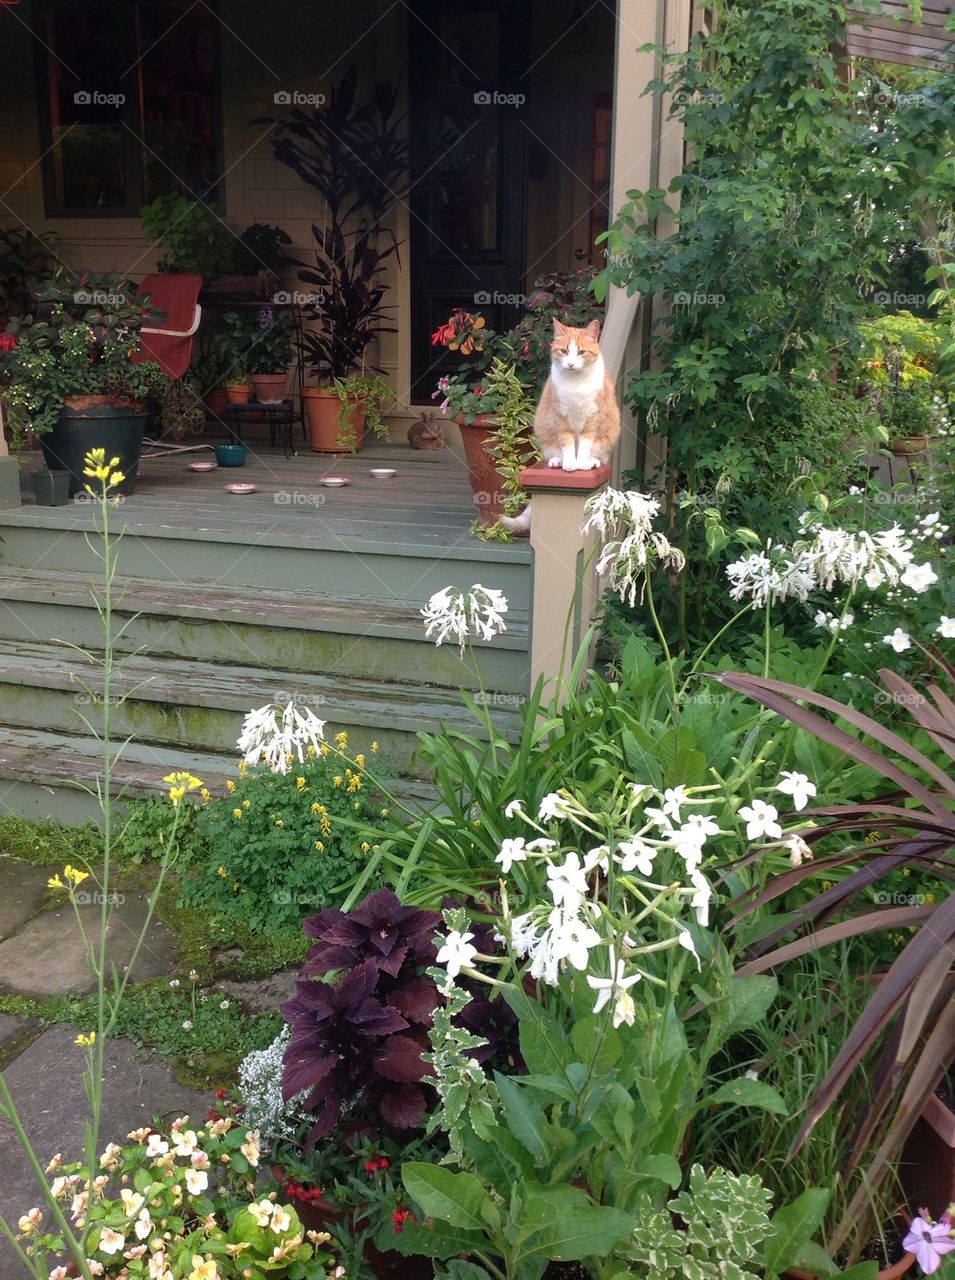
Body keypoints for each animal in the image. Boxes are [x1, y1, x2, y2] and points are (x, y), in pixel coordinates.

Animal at [499, 317, 617, 532]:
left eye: (581, 352)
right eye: (563, 351)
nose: (570, 363)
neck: (576, 383)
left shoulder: (591, 417)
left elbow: (584, 445)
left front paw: (581, 463)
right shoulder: (561, 416)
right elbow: (568, 444)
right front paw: (570, 463)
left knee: (599, 455)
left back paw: (592, 461)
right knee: (555, 452)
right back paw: (558, 461)